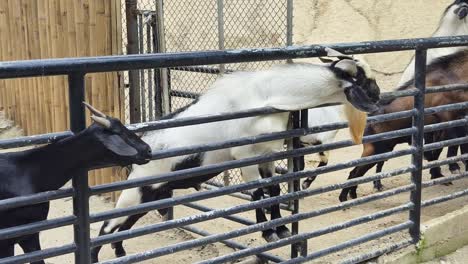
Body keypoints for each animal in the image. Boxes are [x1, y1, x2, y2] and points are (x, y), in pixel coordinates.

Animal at [90, 48, 380, 262]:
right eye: (362, 79)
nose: (379, 97)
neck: (267, 94)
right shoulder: (244, 155)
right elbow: (257, 193)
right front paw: (267, 233)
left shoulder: (268, 153)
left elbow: (273, 190)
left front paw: (282, 228)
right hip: (136, 192)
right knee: (105, 228)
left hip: (149, 195)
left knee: (120, 228)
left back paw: (121, 253)